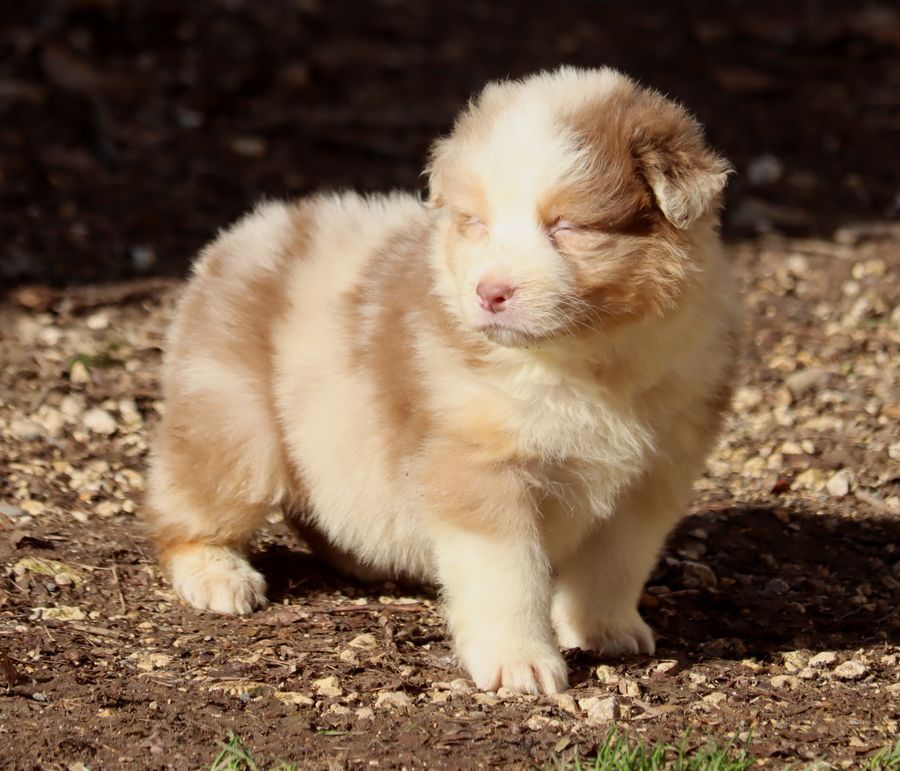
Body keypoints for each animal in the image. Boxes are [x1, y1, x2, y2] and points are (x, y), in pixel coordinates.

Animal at [146, 65, 740, 692]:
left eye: (569, 226)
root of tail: (247, 230)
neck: (586, 361)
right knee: (186, 507)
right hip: (234, 423)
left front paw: (607, 631)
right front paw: (518, 663)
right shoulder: (479, 468)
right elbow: (508, 575)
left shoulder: (651, 478)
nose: (489, 292)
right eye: (474, 222)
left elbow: (615, 565)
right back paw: (217, 575)